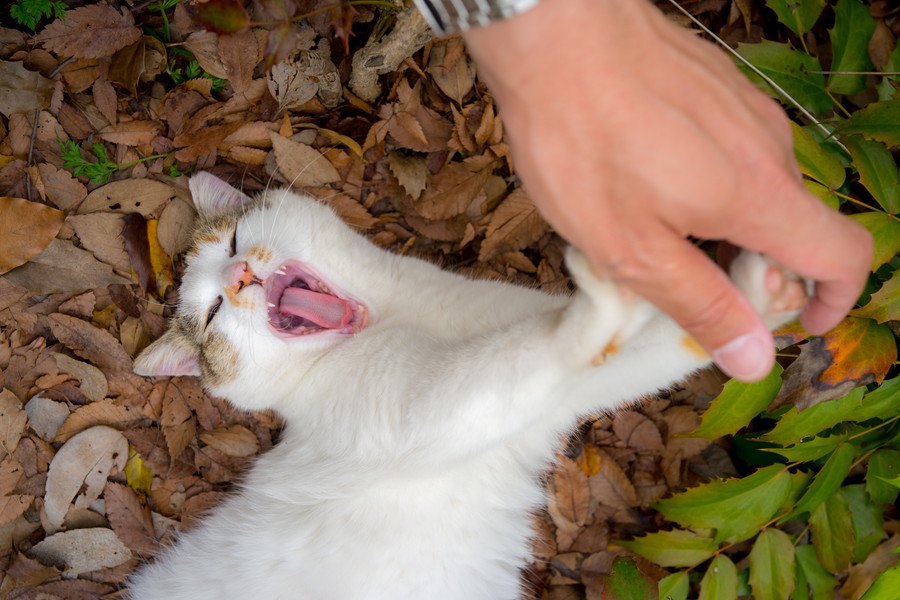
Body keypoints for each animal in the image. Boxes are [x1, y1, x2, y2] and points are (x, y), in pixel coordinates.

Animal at [123, 171, 804, 600]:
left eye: (236, 241)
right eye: (213, 313)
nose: (237, 277)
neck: (399, 314)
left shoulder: (553, 398)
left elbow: (648, 349)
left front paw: (756, 302)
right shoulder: (431, 410)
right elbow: (525, 354)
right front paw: (607, 303)